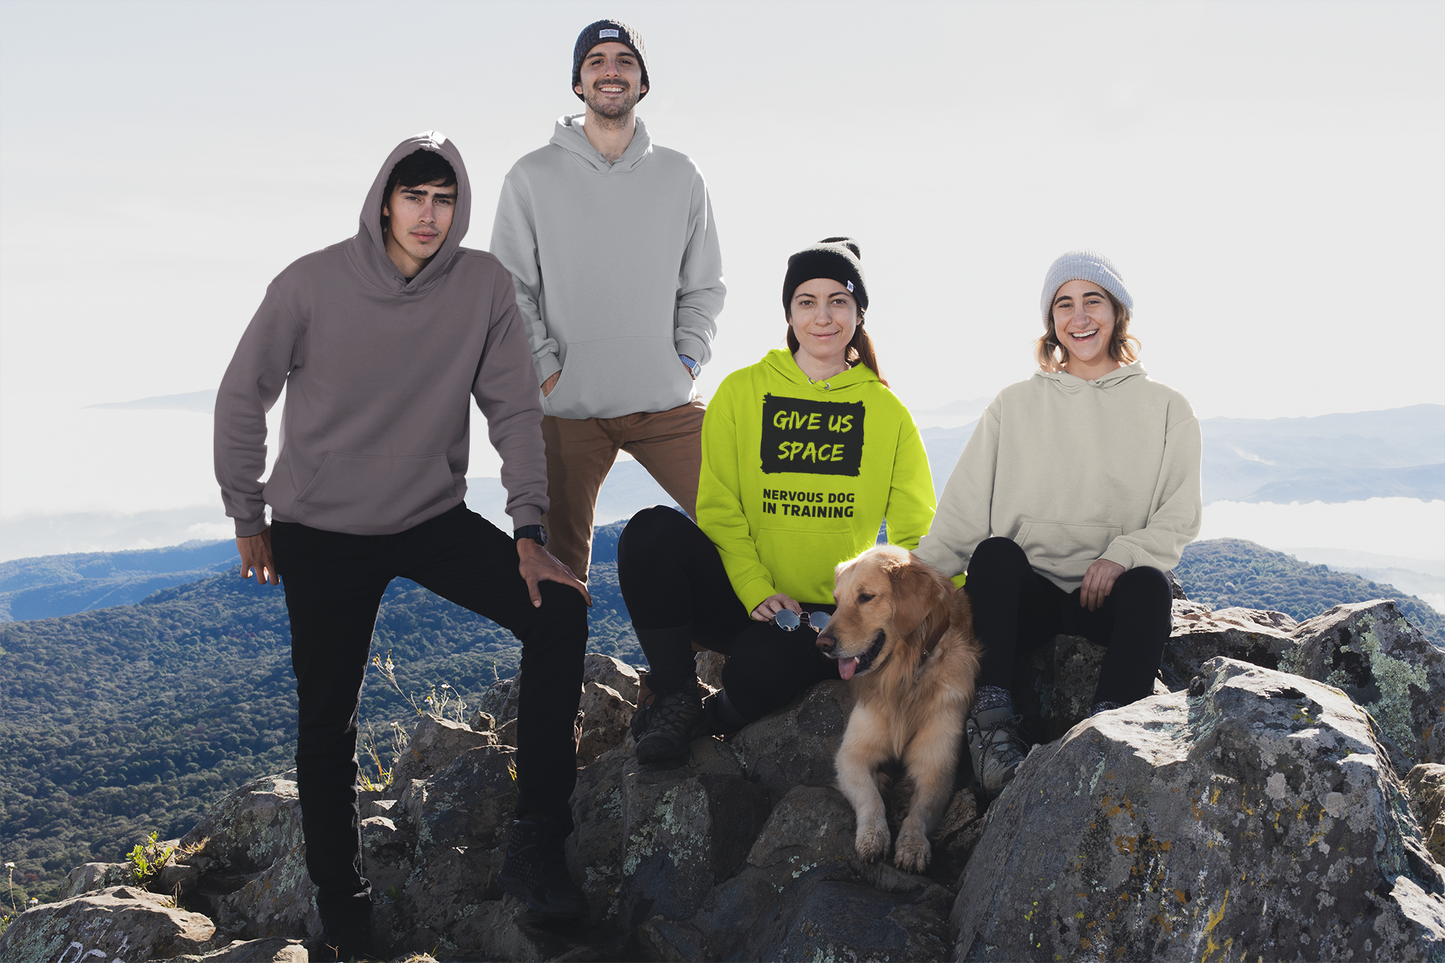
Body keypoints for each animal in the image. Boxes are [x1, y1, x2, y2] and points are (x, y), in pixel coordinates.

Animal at [814, 543, 982, 867]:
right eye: (837, 602)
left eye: (866, 597)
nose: (822, 644)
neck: (905, 674)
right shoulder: (851, 755)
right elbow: (870, 797)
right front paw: (873, 836)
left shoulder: (937, 764)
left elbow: (921, 810)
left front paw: (912, 844)